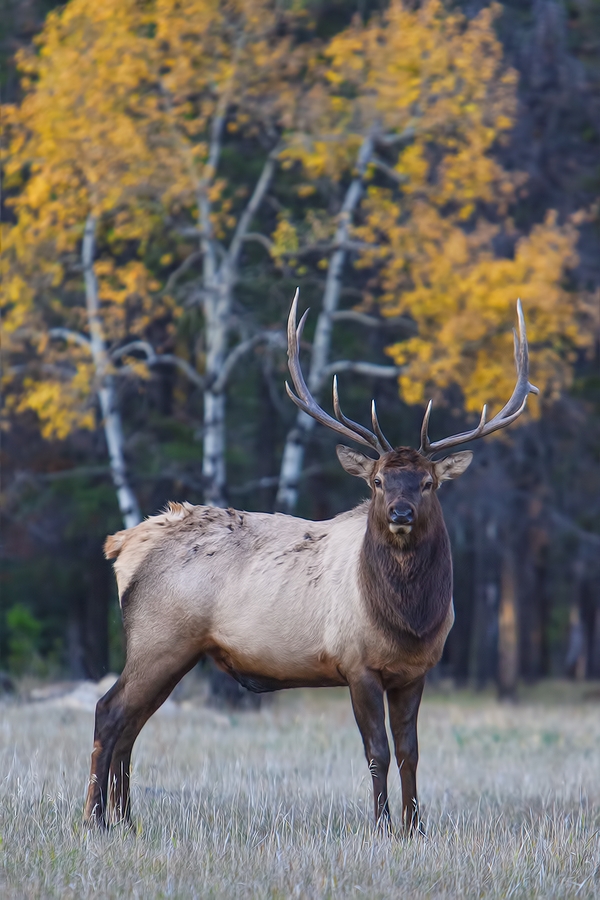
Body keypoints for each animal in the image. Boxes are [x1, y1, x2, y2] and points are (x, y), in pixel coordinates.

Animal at [84, 292, 540, 832]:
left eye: (429, 482)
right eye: (377, 481)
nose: (400, 513)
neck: (410, 621)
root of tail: (123, 543)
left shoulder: (416, 671)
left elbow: (410, 751)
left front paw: (416, 827)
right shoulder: (356, 661)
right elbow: (377, 752)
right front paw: (383, 827)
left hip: (174, 649)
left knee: (131, 725)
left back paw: (125, 820)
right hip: (159, 637)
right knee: (109, 711)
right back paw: (94, 819)